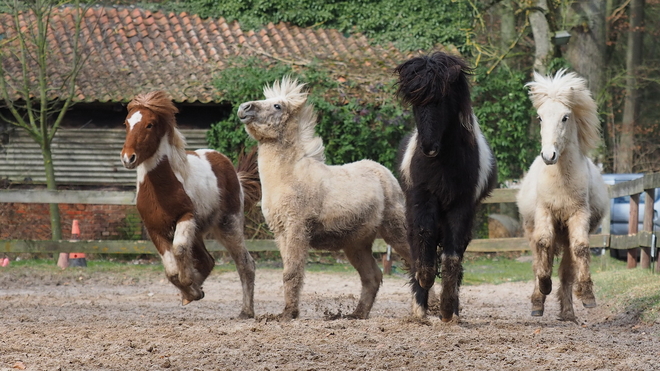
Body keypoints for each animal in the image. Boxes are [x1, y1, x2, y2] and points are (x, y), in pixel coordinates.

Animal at [121, 91, 260, 320]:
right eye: (126, 123)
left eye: (150, 124)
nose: (128, 158)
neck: (162, 188)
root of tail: (232, 171)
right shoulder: (154, 229)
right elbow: (171, 271)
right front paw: (191, 291)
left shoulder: (186, 217)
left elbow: (179, 250)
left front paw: (191, 286)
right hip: (199, 233)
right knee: (207, 260)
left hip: (228, 225)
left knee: (245, 264)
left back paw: (246, 311)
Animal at [237, 77, 412, 322]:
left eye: (277, 106)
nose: (244, 108)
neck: (289, 176)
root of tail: (386, 174)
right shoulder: (281, 233)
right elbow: (288, 271)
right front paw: (287, 312)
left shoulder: (297, 228)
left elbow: (292, 272)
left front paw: (288, 314)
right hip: (356, 244)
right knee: (373, 275)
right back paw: (356, 314)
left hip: (394, 230)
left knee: (416, 263)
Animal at [398, 52, 496, 322]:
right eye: (415, 103)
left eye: (442, 100)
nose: (428, 147)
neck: (443, 163)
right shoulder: (423, 198)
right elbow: (424, 240)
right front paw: (425, 281)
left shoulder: (462, 205)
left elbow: (452, 257)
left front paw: (447, 308)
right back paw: (419, 307)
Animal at [516, 69, 608, 322]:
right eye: (539, 118)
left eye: (565, 117)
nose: (549, 155)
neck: (561, 182)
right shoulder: (544, 212)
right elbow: (544, 245)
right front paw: (544, 286)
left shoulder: (579, 214)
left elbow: (581, 248)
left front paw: (587, 296)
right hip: (531, 228)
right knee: (539, 258)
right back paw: (538, 302)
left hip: (565, 235)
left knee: (567, 270)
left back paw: (567, 312)